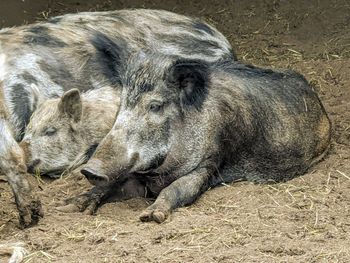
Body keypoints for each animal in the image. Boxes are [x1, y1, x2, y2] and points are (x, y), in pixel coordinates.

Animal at [76, 52, 330, 224]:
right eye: (123, 103)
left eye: (155, 106)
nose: (90, 169)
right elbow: (112, 185)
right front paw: (77, 206)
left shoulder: (210, 163)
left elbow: (178, 189)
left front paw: (150, 217)